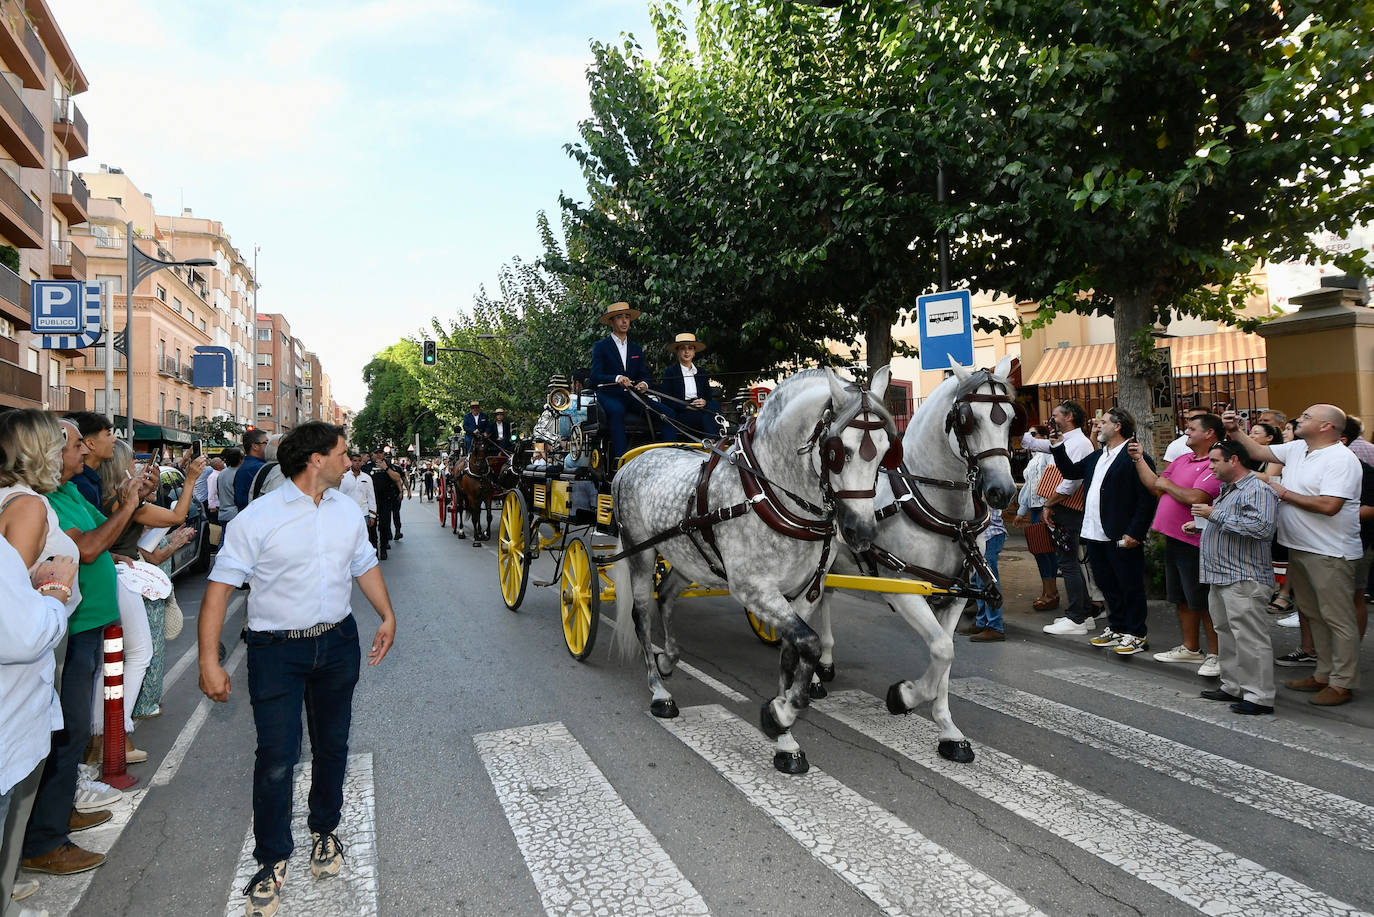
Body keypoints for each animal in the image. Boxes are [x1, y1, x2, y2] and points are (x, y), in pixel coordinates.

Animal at [612, 365, 901, 775]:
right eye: (837, 452)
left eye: (886, 453)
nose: (862, 533)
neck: (771, 493)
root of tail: (630, 463)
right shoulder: (753, 589)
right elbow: (811, 643)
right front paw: (780, 715)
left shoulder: (804, 592)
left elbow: (794, 652)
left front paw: (785, 739)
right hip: (641, 553)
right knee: (641, 614)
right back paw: (659, 690)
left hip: (687, 557)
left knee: (665, 596)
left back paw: (668, 658)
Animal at [802, 354, 1022, 764]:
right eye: (967, 418)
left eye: (1011, 417)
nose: (1001, 491)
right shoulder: (903, 588)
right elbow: (941, 650)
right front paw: (903, 696)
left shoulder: (956, 594)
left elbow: (945, 656)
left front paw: (948, 731)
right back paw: (811, 675)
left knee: (821, 602)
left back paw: (823, 660)